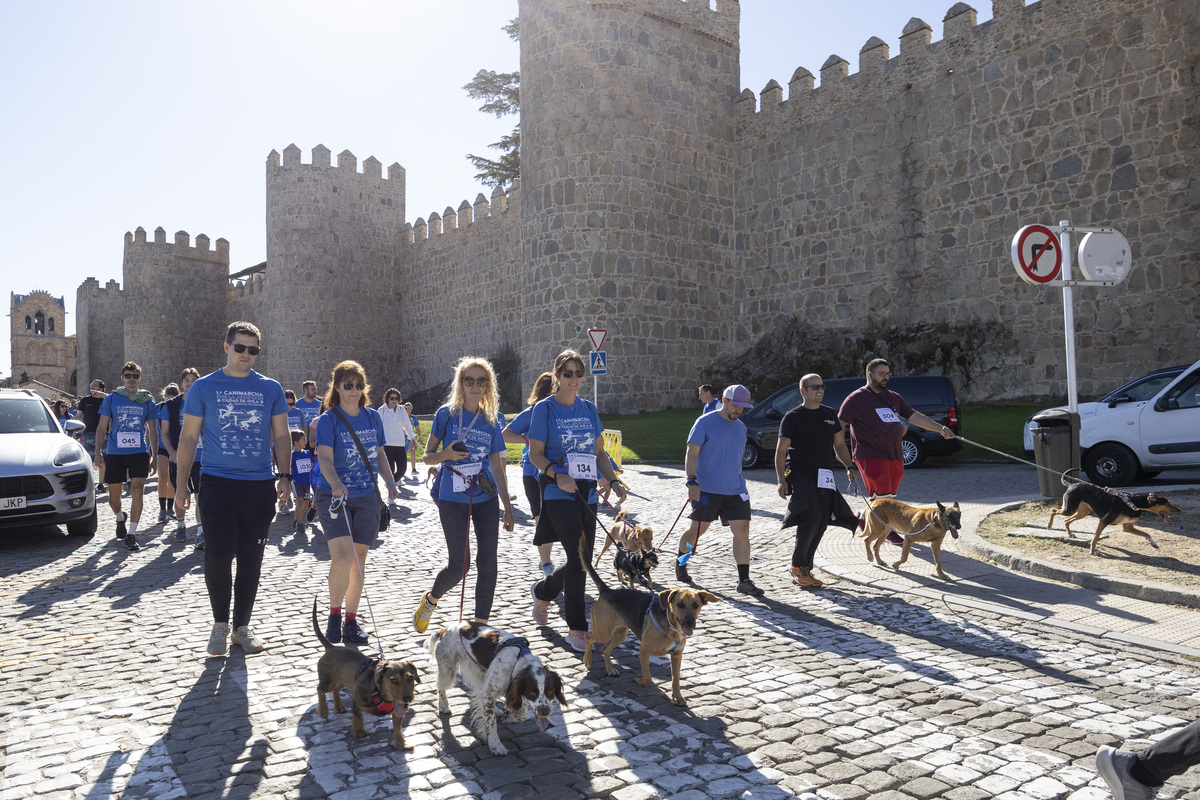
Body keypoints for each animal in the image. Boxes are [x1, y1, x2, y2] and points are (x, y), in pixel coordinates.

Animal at [312, 599, 420, 753]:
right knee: (320, 690)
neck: (380, 693)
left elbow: (398, 730)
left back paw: (339, 706)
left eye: (410, 678)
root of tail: (331, 647)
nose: (407, 699)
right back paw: (323, 710)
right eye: (393, 680)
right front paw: (359, 732)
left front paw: (402, 744)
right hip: (328, 681)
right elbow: (358, 718)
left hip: (343, 680)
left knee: (336, 690)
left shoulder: (398, 711)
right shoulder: (356, 702)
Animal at [427, 618, 566, 758]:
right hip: (447, 671)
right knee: (440, 687)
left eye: (550, 692)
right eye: (532, 693)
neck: (518, 661)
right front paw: (495, 745)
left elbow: (523, 714)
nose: (545, 712)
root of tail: (445, 629)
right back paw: (443, 705)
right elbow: (491, 722)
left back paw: (498, 711)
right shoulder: (489, 693)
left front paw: (507, 716)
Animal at [578, 542, 715, 705]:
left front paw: (678, 697)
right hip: (604, 631)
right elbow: (648, 678)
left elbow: (675, 680)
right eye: (680, 605)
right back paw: (587, 659)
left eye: (696, 605)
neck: (672, 627)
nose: (690, 622)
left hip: (620, 633)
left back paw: (610, 669)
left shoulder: (676, 655)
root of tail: (608, 591)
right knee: (589, 637)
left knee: (605, 649)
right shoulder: (644, 650)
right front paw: (639, 679)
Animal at [1051, 472, 1180, 554]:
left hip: (1082, 512)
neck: (1132, 503)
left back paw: (1070, 533)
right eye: (1167, 503)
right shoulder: (1104, 521)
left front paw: (1154, 543)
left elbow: (1146, 533)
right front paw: (1092, 551)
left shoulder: (1127, 527)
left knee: (1066, 520)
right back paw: (1049, 525)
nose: (1179, 510)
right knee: (1053, 510)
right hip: (1069, 509)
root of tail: (1071, 484)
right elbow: (1095, 538)